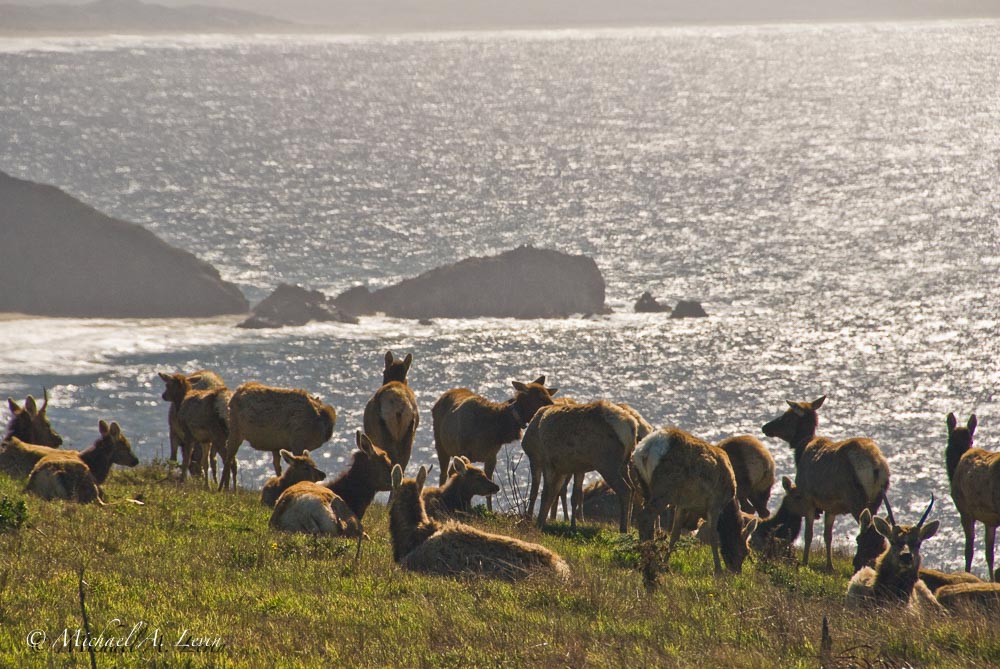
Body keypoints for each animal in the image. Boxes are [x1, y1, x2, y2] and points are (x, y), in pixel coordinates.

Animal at [432, 375, 556, 510]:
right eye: (541, 397)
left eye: (548, 394)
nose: (553, 407)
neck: (493, 431)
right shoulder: (463, 450)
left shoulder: (491, 456)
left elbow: (489, 491)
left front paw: (489, 510)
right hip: (441, 445)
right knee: (444, 473)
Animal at [631, 427, 758, 574]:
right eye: (744, 551)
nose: (736, 571)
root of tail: (645, 450)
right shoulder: (715, 504)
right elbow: (713, 536)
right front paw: (718, 571)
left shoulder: (683, 504)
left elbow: (674, 534)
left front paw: (665, 564)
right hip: (664, 489)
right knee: (645, 517)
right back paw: (649, 559)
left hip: (645, 486)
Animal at [761, 396, 889, 570]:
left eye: (787, 415)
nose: (765, 427)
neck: (801, 453)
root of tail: (876, 467)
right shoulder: (831, 506)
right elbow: (828, 536)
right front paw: (829, 565)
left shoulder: (807, 497)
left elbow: (808, 534)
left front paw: (804, 562)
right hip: (877, 497)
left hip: (855, 497)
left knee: (868, 529)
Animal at [945, 413, 1000, 581]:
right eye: (951, 439)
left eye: (970, 440)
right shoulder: (990, 519)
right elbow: (989, 554)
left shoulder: (965, 510)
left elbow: (968, 550)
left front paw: (967, 574)